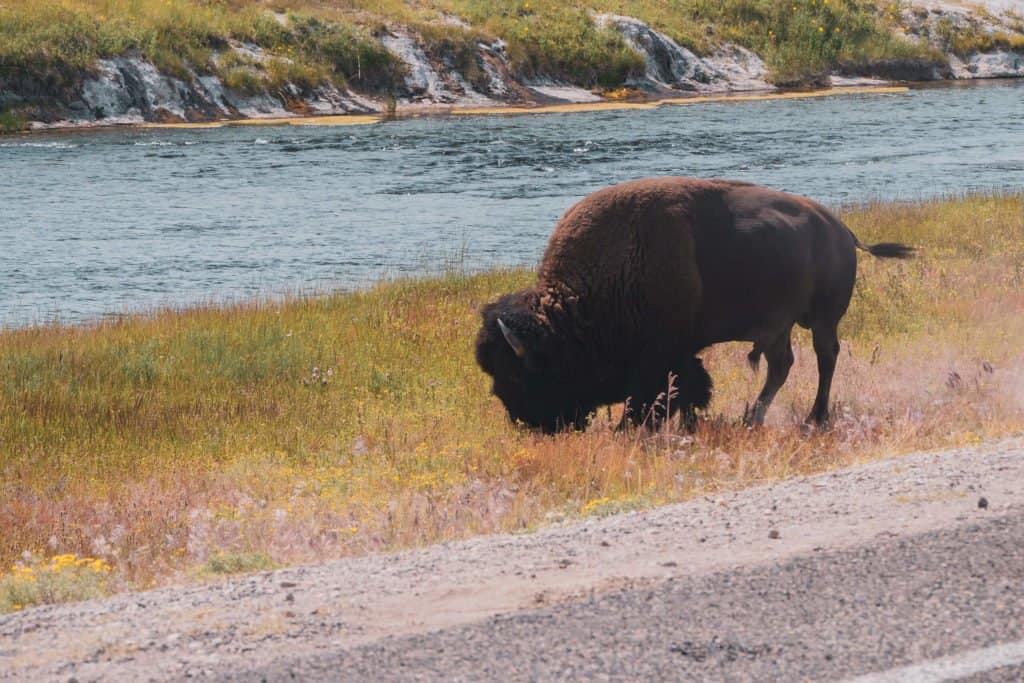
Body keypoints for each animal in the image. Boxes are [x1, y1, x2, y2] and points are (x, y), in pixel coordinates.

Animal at [473, 176, 913, 432]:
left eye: (515, 374)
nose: (524, 423)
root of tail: (841, 230)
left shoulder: (661, 356)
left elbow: (665, 392)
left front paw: (635, 429)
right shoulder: (678, 354)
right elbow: (688, 387)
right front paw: (687, 423)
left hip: (823, 320)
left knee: (825, 359)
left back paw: (814, 418)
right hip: (779, 327)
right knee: (781, 366)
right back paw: (752, 418)